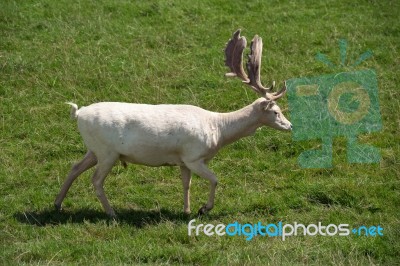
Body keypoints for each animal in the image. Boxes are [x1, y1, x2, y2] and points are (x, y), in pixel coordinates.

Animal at [54, 29, 290, 217]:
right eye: (276, 111)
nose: (290, 125)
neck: (218, 130)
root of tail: (79, 113)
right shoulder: (194, 156)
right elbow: (215, 179)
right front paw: (204, 208)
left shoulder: (182, 160)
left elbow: (186, 184)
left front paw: (186, 210)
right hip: (107, 152)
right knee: (95, 180)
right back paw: (111, 213)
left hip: (94, 150)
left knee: (75, 167)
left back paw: (57, 204)